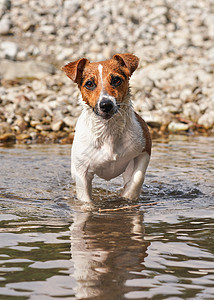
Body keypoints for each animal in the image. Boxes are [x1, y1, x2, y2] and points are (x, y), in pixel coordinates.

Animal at [61, 53, 152, 204]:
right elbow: (85, 200)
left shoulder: (144, 150)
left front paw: (128, 196)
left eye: (116, 80)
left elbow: (137, 178)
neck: (108, 131)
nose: (106, 104)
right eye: (89, 84)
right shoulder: (82, 172)